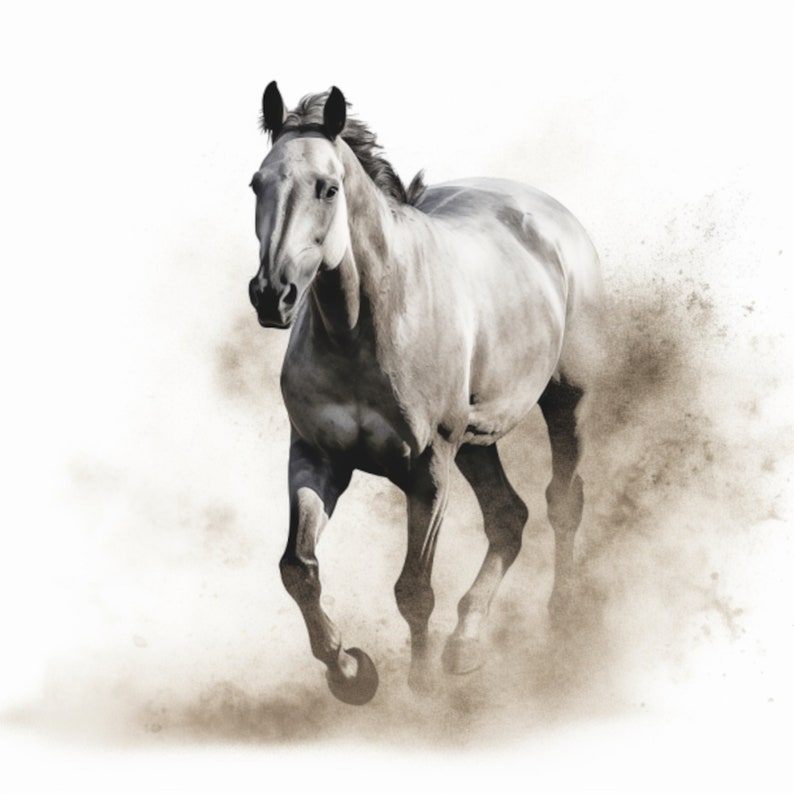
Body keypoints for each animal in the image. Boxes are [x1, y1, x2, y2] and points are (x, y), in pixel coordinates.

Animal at [248, 82, 604, 705]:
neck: (365, 328)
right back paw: (465, 644)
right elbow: (299, 568)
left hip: (565, 402)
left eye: (328, 187)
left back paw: (559, 616)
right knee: (508, 517)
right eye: (256, 183)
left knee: (563, 501)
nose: (273, 296)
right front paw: (350, 671)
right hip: (477, 439)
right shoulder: (316, 458)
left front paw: (419, 688)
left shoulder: (429, 466)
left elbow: (414, 586)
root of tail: (552, 216)